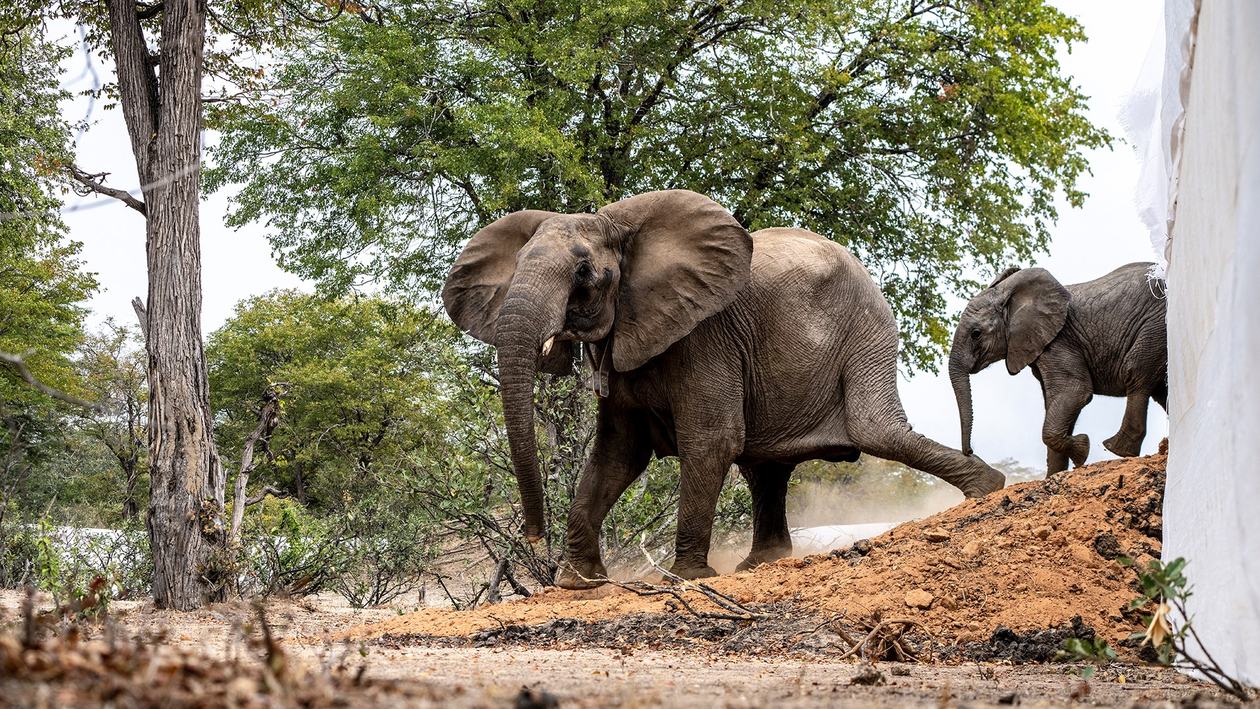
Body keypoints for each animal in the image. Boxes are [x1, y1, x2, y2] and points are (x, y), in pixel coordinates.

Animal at [442, 189, 1005, 589]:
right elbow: (617, 455)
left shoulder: (705, 337)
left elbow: (709, 441)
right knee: (764, 465)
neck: (619, 227)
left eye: (583, 273)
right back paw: (762, 564)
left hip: (867, 328)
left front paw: (687, 578)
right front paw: (577, 582)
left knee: (875, 431)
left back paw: (989, 488)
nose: (532, 535)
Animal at [948, 263, 1168, 475]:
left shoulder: (1060, 339)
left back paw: (1117, 448)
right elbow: (1053, 402)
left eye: (976, 333)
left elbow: (1074, 391)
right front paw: (1053, 476)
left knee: (1136, 373)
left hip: (1156, 324)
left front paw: (1082, 450)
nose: (969, 452)